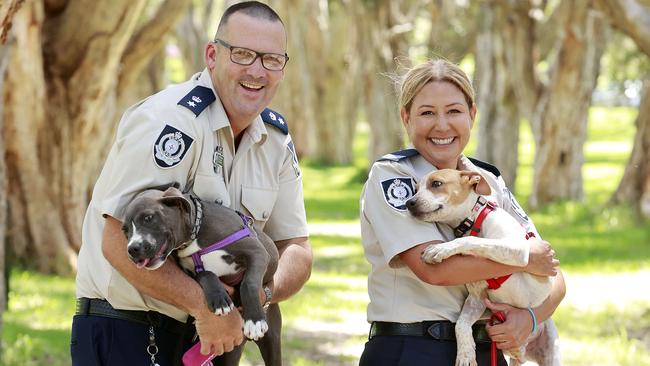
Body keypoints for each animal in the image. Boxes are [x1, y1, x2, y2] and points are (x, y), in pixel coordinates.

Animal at [404, 170, 556, 366]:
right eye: (415, 189)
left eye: (436, 183)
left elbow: (473, 240)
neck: (474, 219)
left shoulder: (518, 249)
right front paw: (466, 354)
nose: (409, 203)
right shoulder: (476, 299)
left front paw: (440, 248)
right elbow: (461, 324)